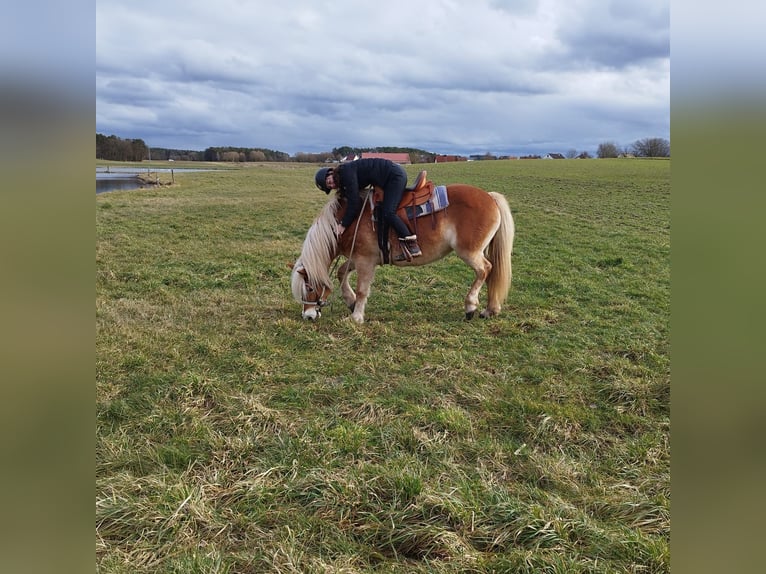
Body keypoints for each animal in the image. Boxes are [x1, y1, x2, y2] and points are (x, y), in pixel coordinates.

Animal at [292, 172, 516, 324]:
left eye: (310, 288)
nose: (308, 316)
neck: (351, 219)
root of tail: (490, 196)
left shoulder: (365, 260)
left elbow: (362, 289)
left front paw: (356, 316)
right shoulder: (361, 258)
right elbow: (340, 273)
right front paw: (350, 301)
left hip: (469, 252)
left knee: (485, 269)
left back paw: (471, 306)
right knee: (491, 272)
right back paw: (490, 309)